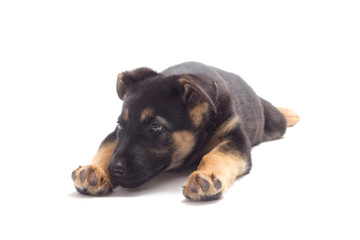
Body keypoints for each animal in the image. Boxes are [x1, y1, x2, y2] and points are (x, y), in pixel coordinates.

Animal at [70, 61, 298, 201]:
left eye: (155, 127)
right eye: (120, 126)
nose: (113, 170)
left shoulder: (234, 137)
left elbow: (217, 155)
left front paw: (206, 177)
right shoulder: (114, 136)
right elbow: (107, 148)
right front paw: (94, 171)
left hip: (275, 124)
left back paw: (289, 114)